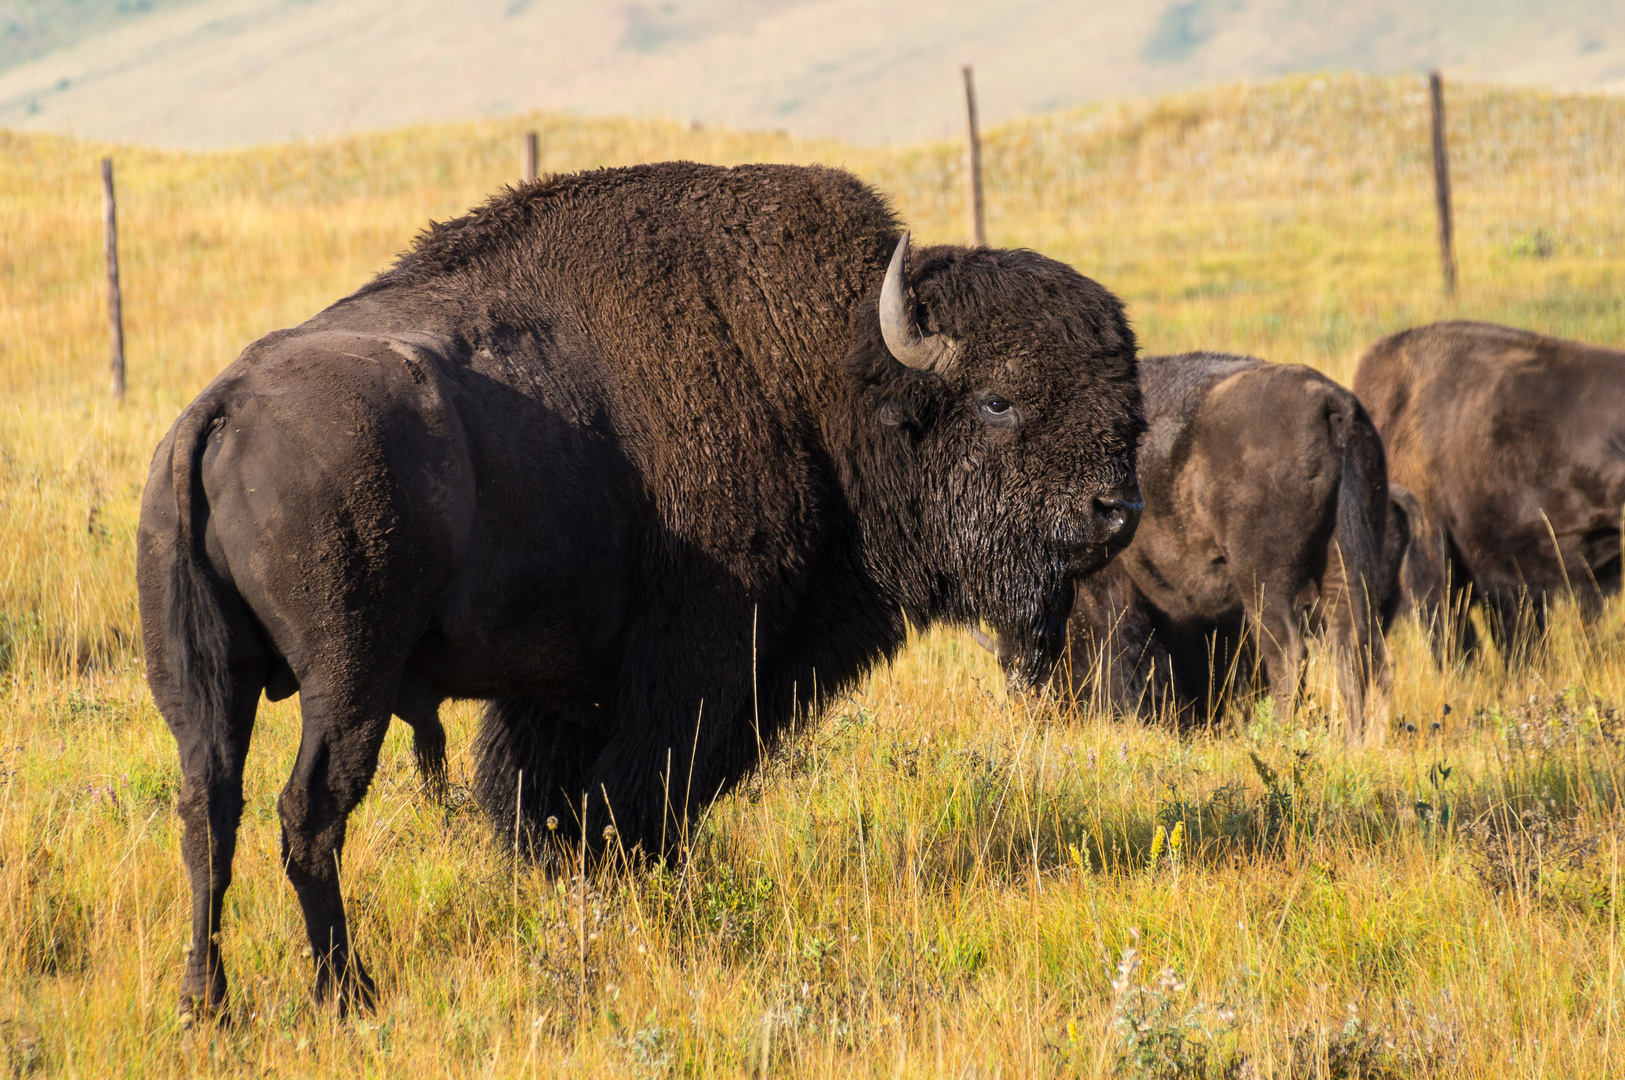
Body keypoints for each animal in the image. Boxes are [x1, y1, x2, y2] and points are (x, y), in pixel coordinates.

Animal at [139, 159, 1144, 1013]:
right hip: (347, 683)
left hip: (202, 684)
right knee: (308, 814)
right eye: (997, 401)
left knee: (209, 811)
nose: (1116, 507)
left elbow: (543, 801)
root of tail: (218, 408)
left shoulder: (559, 690)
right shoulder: (697, 660)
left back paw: (205, 1002)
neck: (819, 374)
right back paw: (347, 993)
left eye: (1127, 401)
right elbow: (639, 794)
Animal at [975, 354, 1410, 740]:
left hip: (1264, 581)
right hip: (1346, 568)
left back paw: (1280, 737)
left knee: (1290, 653)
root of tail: (1331, 405)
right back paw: (1360, 743)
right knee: (1360, 652)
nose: (1035, 707)